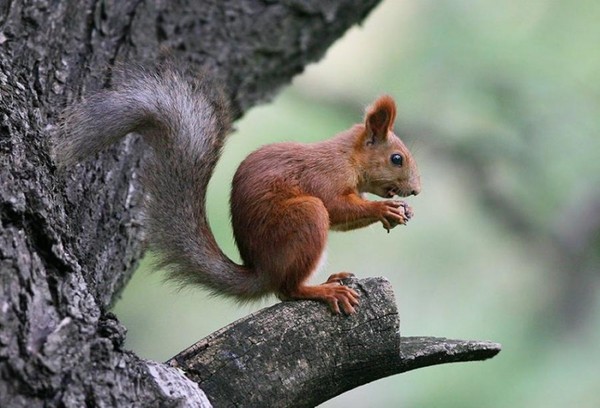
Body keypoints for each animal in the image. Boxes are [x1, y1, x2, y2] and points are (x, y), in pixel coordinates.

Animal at [55, 67, 422, 316]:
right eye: (397, 158)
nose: (416, 191)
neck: (347, 156)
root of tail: (262, 271)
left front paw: (402, 212)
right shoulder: (324, 178)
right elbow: (337, 208)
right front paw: (383, 210)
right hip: (302, 217)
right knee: (288, 289)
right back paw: (323, 290)